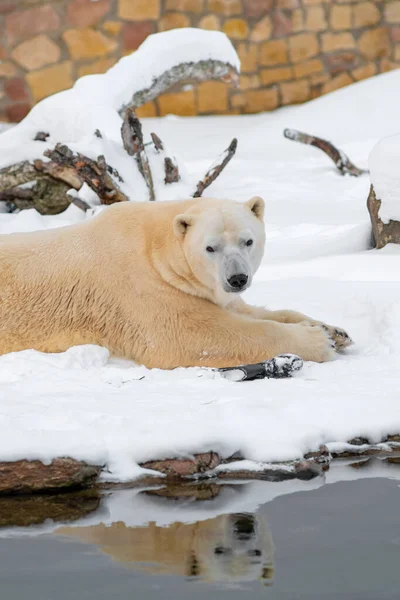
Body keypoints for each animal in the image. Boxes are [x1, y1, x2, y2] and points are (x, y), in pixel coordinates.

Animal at [0, 197, 350, 368]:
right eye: (210, 248)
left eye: (248, 241)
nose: (237, 278)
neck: (155, 247)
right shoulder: (139, 288)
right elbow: (191, 335)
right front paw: (318, 341)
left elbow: (248, 310)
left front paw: (335, 331)